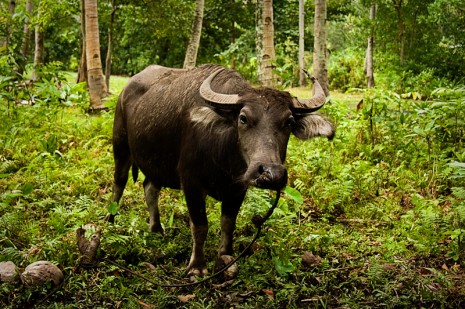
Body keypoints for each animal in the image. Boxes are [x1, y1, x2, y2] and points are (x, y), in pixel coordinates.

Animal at [109, 63, 334, 278]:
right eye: (243, 118)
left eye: (289, 121)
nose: (270, 173)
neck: (224, 157)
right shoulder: (191, 182)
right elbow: (200, 226)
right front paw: (197, 267)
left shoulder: (238, 188)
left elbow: (228, 224)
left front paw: (226, 259)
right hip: (121, 147)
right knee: (119, 183)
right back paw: (110, 221)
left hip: (155, 164)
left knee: (149, 187)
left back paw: (155, 229)